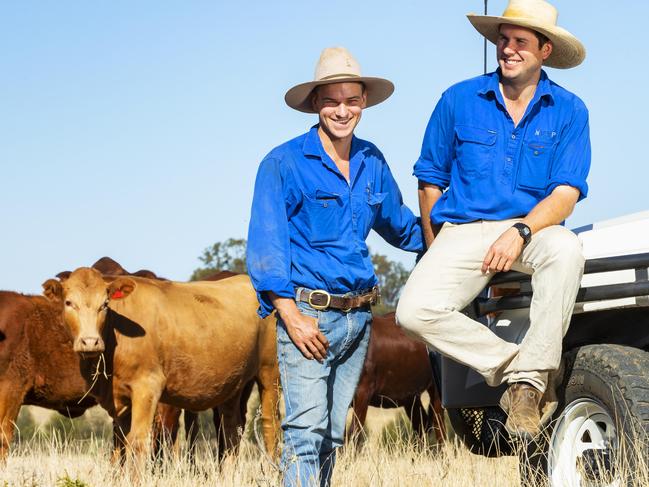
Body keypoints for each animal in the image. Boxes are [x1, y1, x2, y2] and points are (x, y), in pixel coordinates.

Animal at [42, 268, 280, 468]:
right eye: (69, 303)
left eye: (105, 304)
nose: (90, 342)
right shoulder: (118, 400)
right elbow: (120, 444)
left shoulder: (147, 388)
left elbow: (138, 443)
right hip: (233, 384)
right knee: (230, 430)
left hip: (270, 373)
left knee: (271, 427)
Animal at [350, 314, 446, 444]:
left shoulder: (362, 392)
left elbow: (352, 434)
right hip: (410, 395)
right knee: (421, 423)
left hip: (436, 389)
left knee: (439, 425)